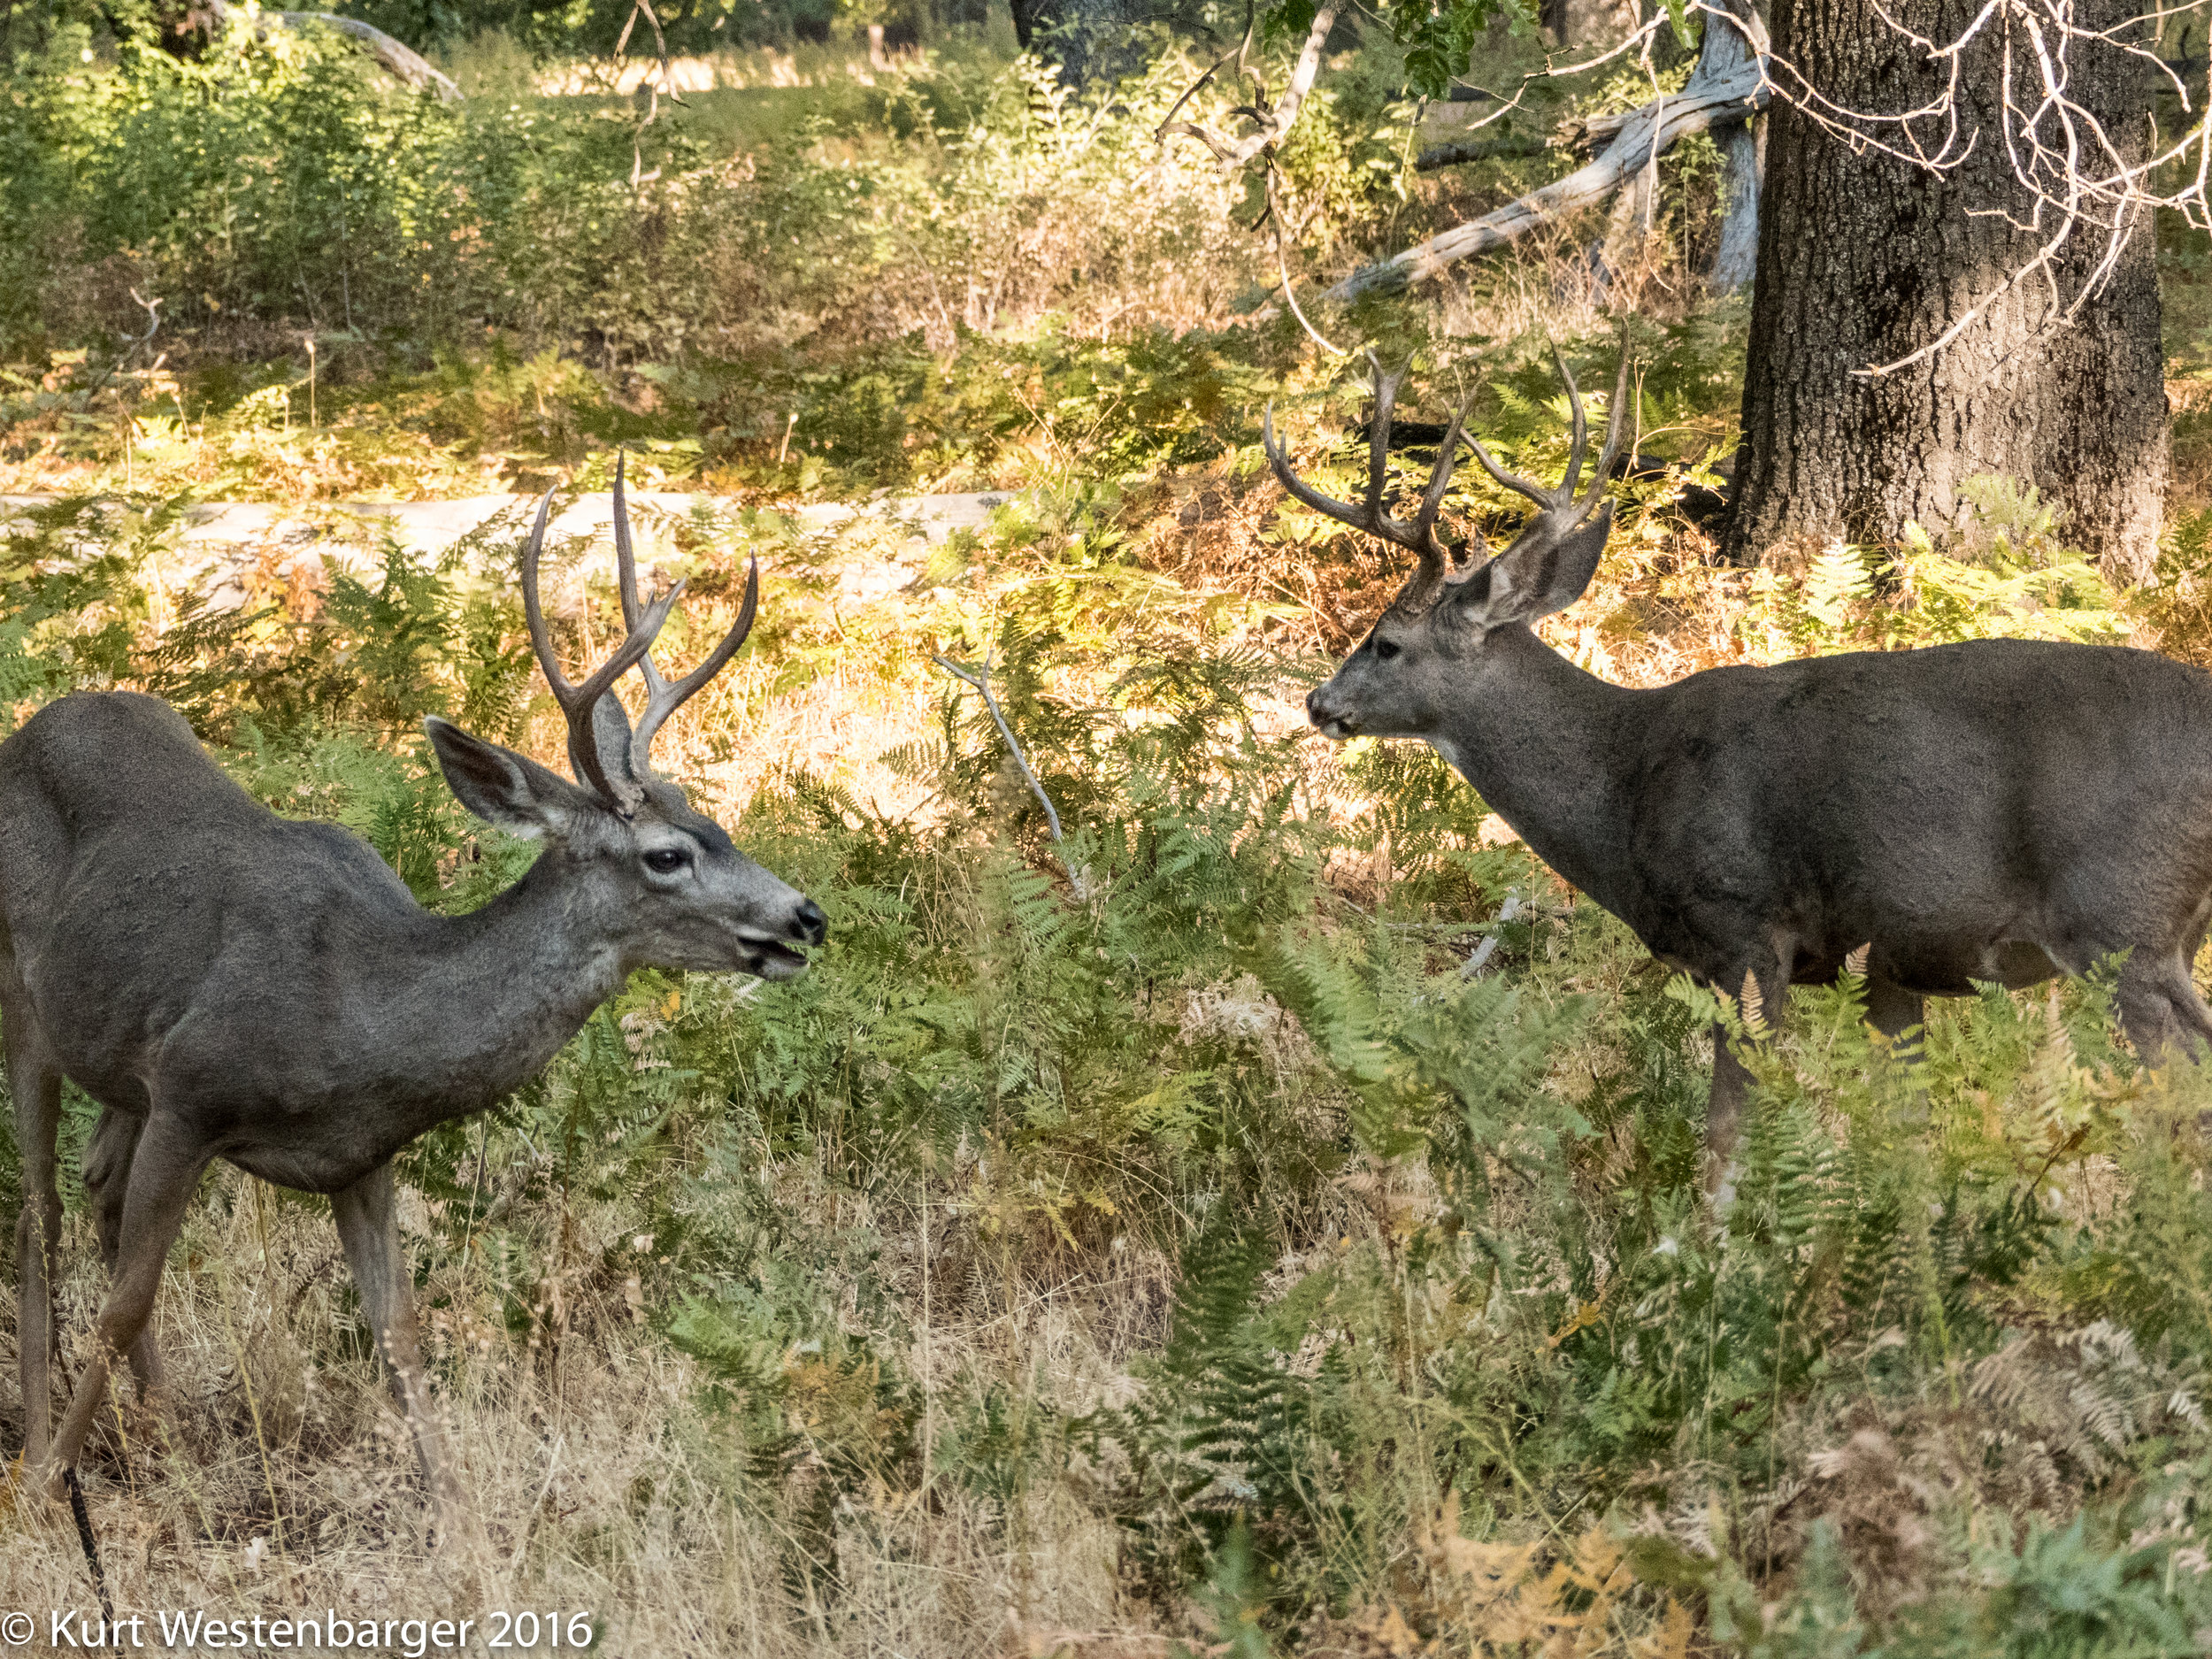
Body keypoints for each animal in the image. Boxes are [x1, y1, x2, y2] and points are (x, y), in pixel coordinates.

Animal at [4, 473, 827, 1531]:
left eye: (712, 817)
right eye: (667, 854)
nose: (804, 915)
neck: (362, 1012)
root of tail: (33, 725)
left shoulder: (359, 1151)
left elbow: (396, 1327)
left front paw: (462, 1520)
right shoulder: (191, 1092)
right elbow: (124, 1302)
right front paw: (47, 1487)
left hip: (118, 1056)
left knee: (95, 1185)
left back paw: (168, 1434)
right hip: (23, 995)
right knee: (38, 1214)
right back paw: (39, 1452)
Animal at [1283, 351, 2212, 1203]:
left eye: (1386, 643)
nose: (1318, 701)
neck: (1622, 786)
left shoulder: (1747, 930)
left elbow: (1728, 1135)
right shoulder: (1890, 962)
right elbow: (1903, 1143)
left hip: (2119, 917)